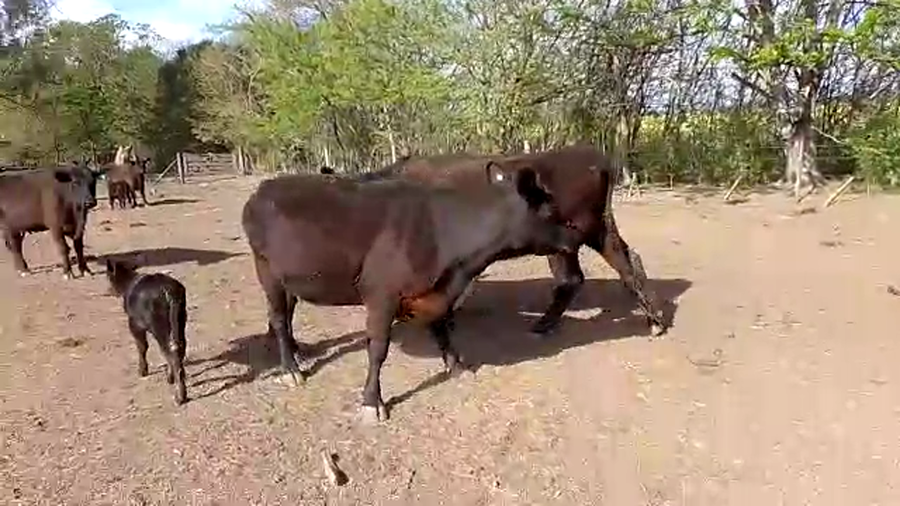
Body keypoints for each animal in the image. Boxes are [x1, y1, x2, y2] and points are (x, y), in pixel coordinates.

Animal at [105, 258, 189, 405]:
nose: (108, 291)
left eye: (108, 277)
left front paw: (142, 371)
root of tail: (168, 291)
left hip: (160, 327)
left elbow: (142, 347)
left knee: (169, 351)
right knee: (180, 347)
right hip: (180, 321)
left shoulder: (134, 324)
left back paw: (179, 395)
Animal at [242, 161, 583, 423]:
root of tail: (264, 188)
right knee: (279, 319)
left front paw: (457, 366)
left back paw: (296, 352)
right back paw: (290, 369)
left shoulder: (435, 293)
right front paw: (372, 402)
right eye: (550, 210)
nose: (576, 236)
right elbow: (378, 350)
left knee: (286, 313)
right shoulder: (382, 295)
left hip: (290, 277)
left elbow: (442, 329)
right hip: (266, 270)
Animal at [353, 144, 669, 338]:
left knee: (576, 277)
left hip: (573, 237)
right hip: (597, 231)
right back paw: (655, 321)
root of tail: (593, 157)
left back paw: (542, 324)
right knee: (625, 262)